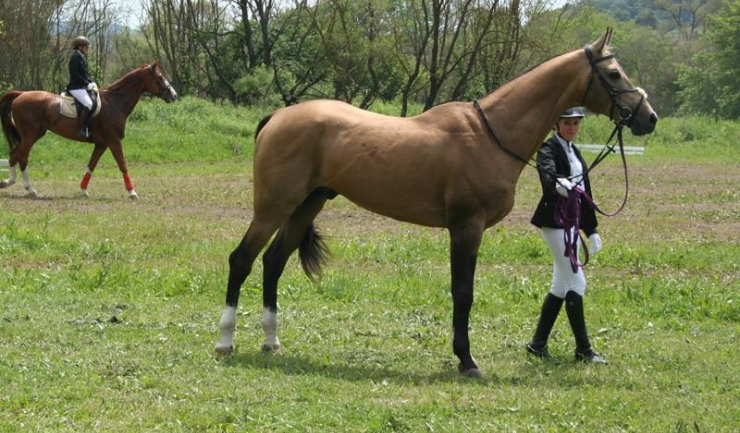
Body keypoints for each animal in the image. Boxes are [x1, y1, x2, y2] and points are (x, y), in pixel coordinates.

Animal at [0, 60, 178, 199]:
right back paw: (14, 184)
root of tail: (21, 94)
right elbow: (122, 164)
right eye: (160, 77)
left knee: (21, 156)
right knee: (16, 155)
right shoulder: (113, 140)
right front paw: (132, 193)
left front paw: (83, 190)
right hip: (29, 134)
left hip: (36, 133)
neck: (115, 102)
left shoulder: (102, 143)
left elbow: (91, 165)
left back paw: (28, 189)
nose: (174, 95)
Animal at [215, 27, 660, 378]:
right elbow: (463, 293)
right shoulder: (466, 226)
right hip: (273, 207)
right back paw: (225, 341)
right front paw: (467, 361)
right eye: (614, 73)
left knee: (273, 262)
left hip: (306, 205)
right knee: (242, 260)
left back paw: (271, 341)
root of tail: (277, 117)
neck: (490, 134)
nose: (649, 117)